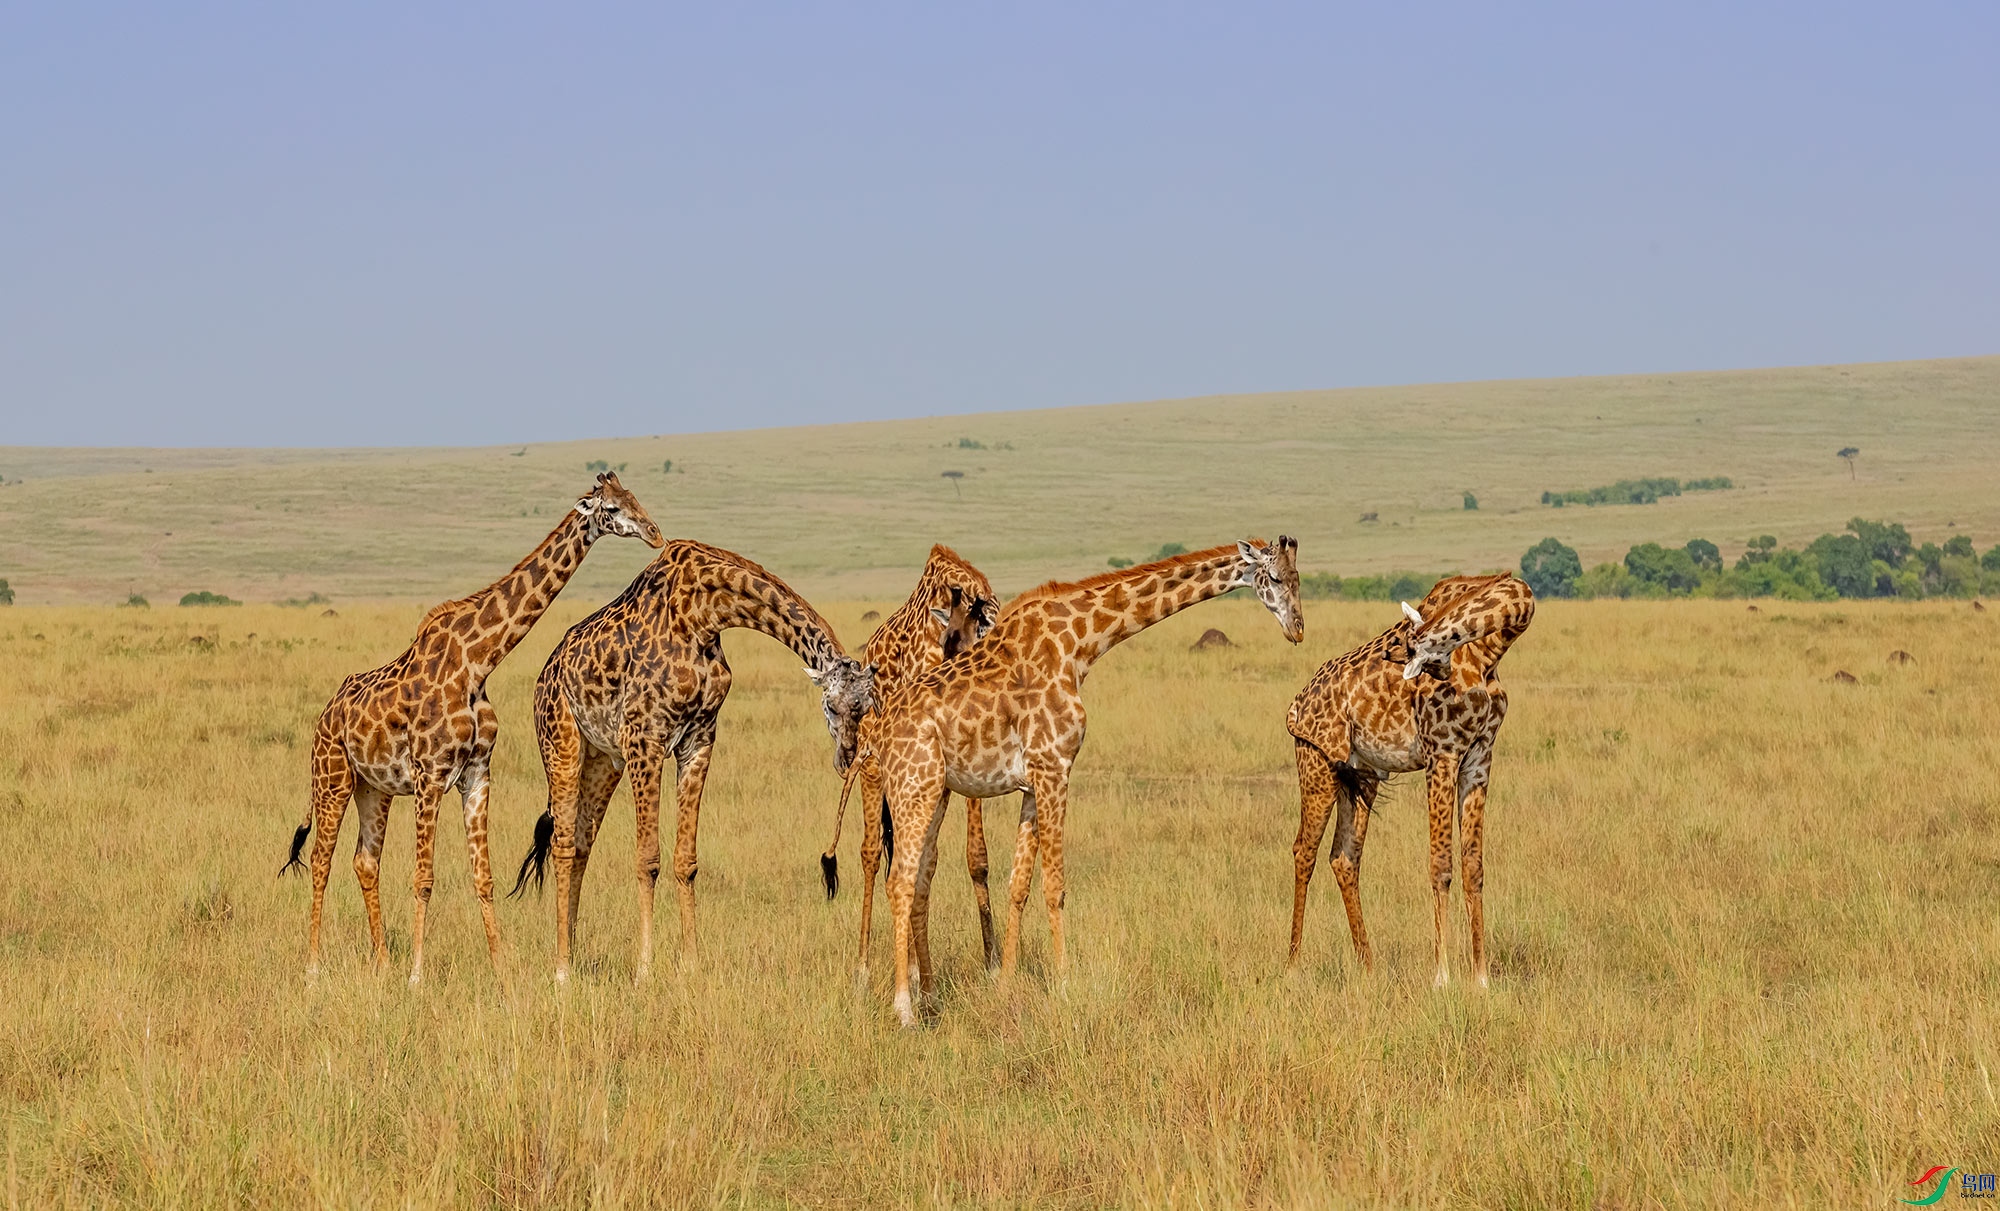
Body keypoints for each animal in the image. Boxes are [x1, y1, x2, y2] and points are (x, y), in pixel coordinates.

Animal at [282, 475, 664, 987]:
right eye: (612, 507)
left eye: (635, 497)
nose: (655, 533)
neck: (478, 662)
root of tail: (325, 714)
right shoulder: (429, 775)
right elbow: (424, 878)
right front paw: (417, 978)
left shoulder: (477, 774)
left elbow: (484, 877)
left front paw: (502, 973)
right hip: (332, 778)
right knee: (322, 861)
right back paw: (313, 968)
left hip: (373, 789)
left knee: (365, 861)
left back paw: (382, 964)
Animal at [508, 539, 876, 987]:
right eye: (834, 706)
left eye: (866, 708)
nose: (847, 757)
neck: (705, 615)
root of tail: (545, 673)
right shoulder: (644, 737)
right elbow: (647, 860)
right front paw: (644, 969)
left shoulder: (699, 740)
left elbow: (686, 860)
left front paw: (691, 965)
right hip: (561, 742)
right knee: (562, 846)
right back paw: (561, 968)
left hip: (602, 760)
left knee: (581, 844)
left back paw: (574, 954)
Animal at [812, 547, 1000, 983]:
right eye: (948, 642)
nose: (843, 755)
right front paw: (913, 970)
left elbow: (976, 856)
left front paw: (992, 961)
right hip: (875, 771)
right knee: (871, 853)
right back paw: (863, 967)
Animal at [864, 539, 1304, 1023]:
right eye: (1274, 577)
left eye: (1299, 578)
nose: (1298, 629)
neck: (1079, 645)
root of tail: (880, 730)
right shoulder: (1055, 766)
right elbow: (1055, 886)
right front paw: (1064, 985)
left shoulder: (1032, 781)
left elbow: (1019, 885)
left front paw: (1005, 984)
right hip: (914, 787)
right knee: (900, 881)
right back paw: (904, 1009)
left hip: (934, 791)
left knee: (921, 879)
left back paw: (929, 998)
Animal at [1288, 575, 1536, 991]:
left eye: (1405, 646)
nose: (1427, 679)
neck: (1490, 654)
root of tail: (1295, 706)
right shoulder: (1443, 754)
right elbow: (1441, 865)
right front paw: (1442, 977)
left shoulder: (1479, 758)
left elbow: (1474, 868)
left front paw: (1481, 978)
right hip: (1316, 764)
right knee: (1303, 852)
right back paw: (1291, 964)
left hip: (1360, 775)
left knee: (1344, 858)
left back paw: (1368, 967)